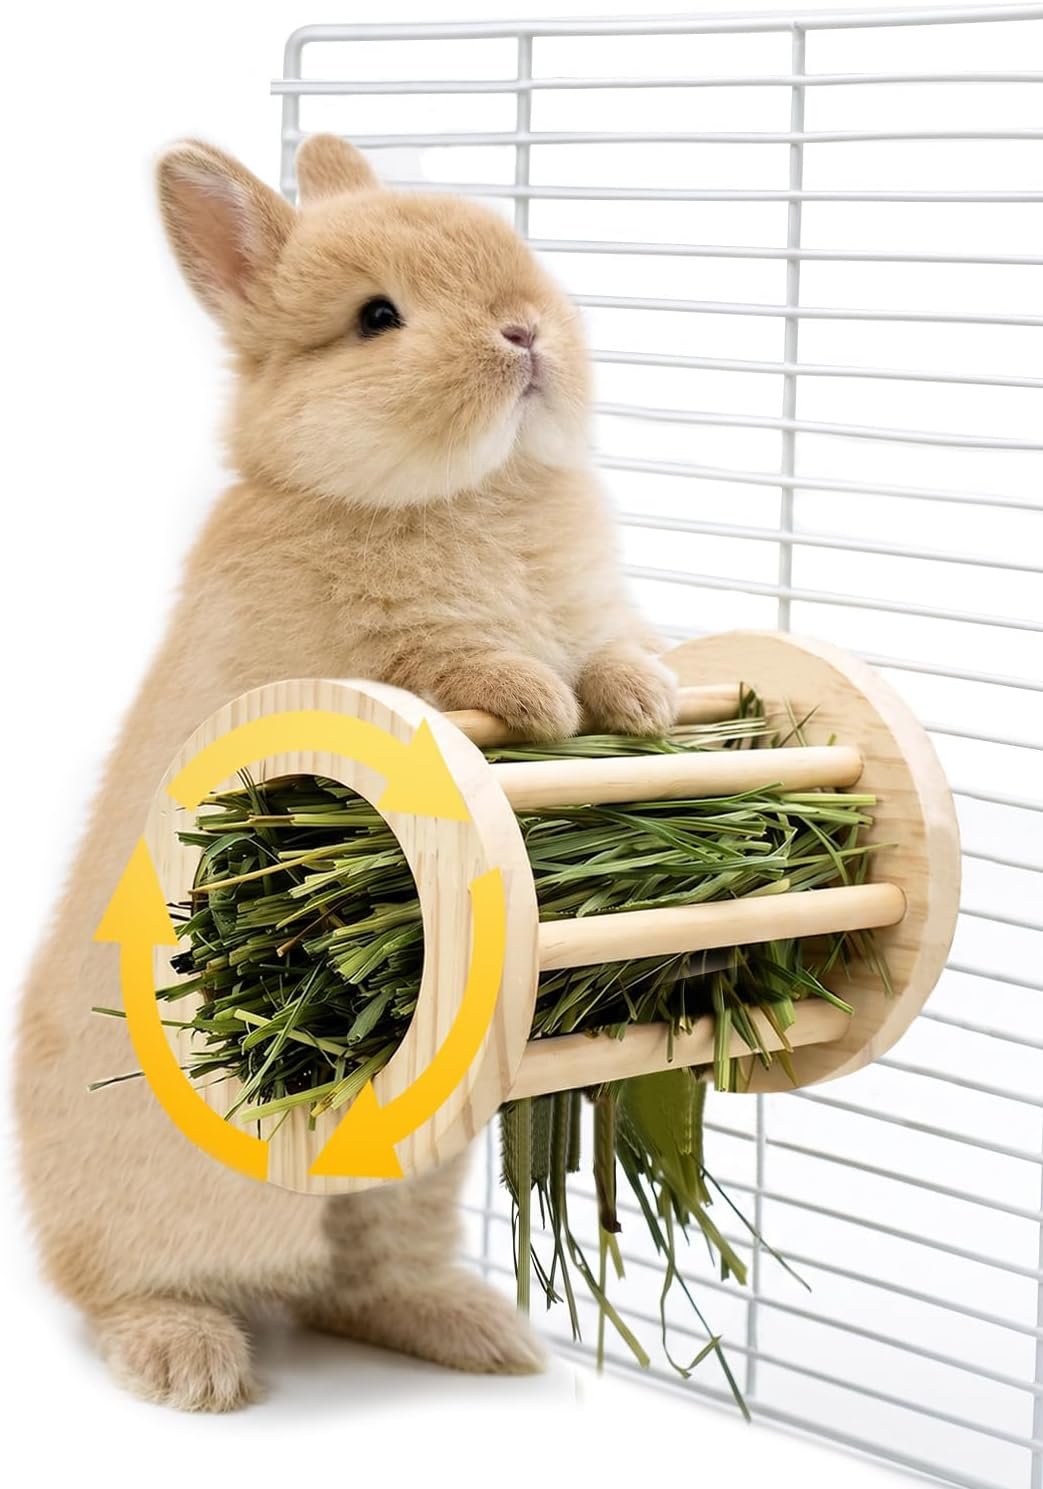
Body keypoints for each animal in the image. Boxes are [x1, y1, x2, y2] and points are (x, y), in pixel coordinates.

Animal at [15, 134, 677, 1412]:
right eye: (377, 319)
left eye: (519, 260)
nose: (525, 331)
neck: (475, 492)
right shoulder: (368, 664)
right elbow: (459, 663)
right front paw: (537, 698)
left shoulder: (597, 610)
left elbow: (617, 648)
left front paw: (646, 701)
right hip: (185, 1210)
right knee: (128, 1287)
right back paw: (191, 1362)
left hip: (409, 1182)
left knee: (355, 1282)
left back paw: (484, 1335)